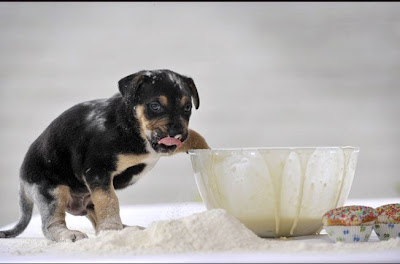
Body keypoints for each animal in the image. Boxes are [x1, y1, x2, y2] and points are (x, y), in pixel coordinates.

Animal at [0, 69, 211, 241]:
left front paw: (209, 154)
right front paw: (112, 230)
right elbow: (110, 202)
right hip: (51, 192)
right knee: (51, 225)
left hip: (86, 199)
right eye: (155, 106)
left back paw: (125, 229)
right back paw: (71, 234)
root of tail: (22, 182)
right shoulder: (98, 171)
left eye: (187, 107)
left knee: (95, 216)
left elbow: (194, 135)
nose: (176, 132)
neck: (132, 126)